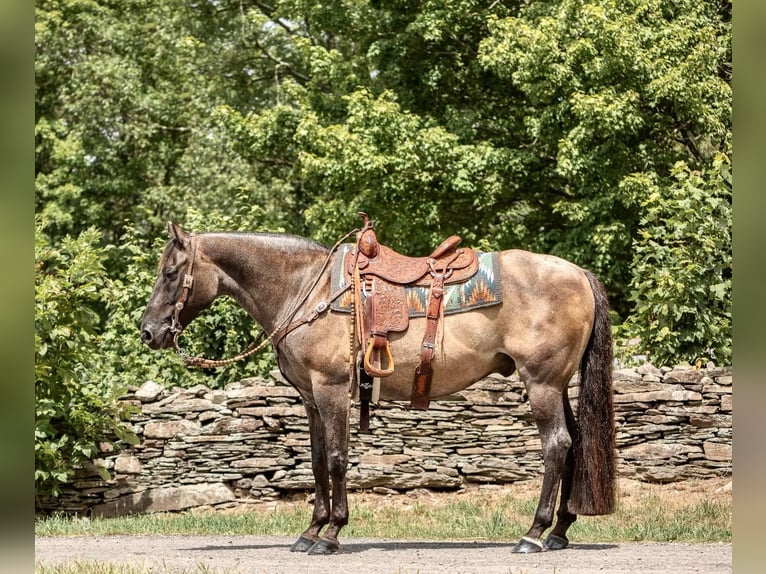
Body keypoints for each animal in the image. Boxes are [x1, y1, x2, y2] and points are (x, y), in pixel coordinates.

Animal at [140, 222, 616, 560]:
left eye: (170, 272)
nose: (148, 332)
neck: (303, 288)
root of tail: (577, 273)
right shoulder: (311, 399)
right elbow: (317, 461)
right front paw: (310, 530)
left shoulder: (331, 389)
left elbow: (336, 458)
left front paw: (331, 534)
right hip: (557, 385)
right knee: (574, 444)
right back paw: (559, 532)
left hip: (541, 384)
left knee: (556, 445)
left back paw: (533, 534)